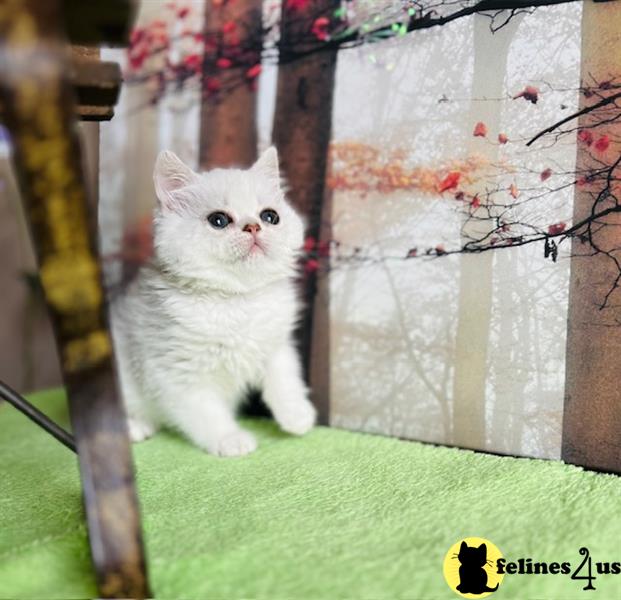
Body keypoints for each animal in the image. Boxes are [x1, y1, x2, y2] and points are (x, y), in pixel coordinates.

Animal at [110, 148, 314, 458]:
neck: (238, 301)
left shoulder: (277, 347)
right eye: (219, 220)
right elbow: (205, 412)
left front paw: (297, 415)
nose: (253, 226)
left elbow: (285, 380)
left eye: (270, 216)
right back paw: (135, 427)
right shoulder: (176, 373)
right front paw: (230, 439)